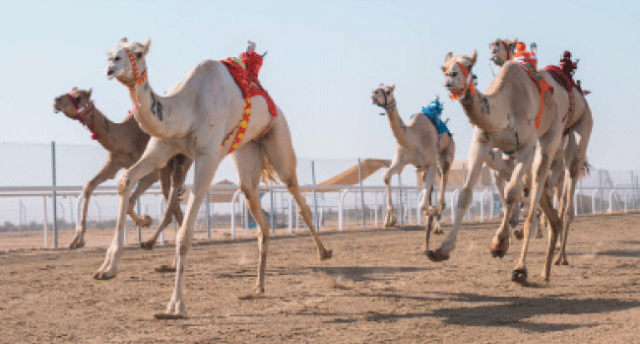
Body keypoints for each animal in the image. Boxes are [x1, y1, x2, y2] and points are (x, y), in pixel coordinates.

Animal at [53, 86, 190, 258]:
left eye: (78, 98)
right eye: (71, 92)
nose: (56, 101)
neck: (127, 137)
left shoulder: (152, 172)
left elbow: (130, 199)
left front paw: (145, 220)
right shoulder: (114, 163)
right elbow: (88, 186)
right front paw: (77, 240)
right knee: (174, 200)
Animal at [99, 39, 336, 318]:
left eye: (137, 53)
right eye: (110, 52)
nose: (111, 65)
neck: (186, 107)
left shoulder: (208, 157)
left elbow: (185, 234)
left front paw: (175, 305)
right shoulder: (163, 147)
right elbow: (125, 180)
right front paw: (107, 268)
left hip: (278, 139)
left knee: (297, 195)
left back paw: (324, 252)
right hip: (247, 150)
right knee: (256, 207)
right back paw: (258, 286)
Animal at [370, 85, 456, 239]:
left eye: (388, 91)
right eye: (377, 87)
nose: (374, 94)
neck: (413, 139)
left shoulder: (431, 163)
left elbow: (422, 203)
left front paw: (431, 210)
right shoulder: (400, 161)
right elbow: (386, 175)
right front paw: (390, 219)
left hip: (447, 155)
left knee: (443, 183)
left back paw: (437, 226)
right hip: (425, 167)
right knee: (431, 184)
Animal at [430, 49, 564, 284]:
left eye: (469, 65)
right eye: (444, 67)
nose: (450, 78)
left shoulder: (526, 146)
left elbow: (511, 192)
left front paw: (501, 244)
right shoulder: (481, 143)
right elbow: (465, 194)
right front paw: (442, 249)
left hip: (550, 134)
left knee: (536, 182)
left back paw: (521, 267)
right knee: (531, 194)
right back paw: (544, 271)